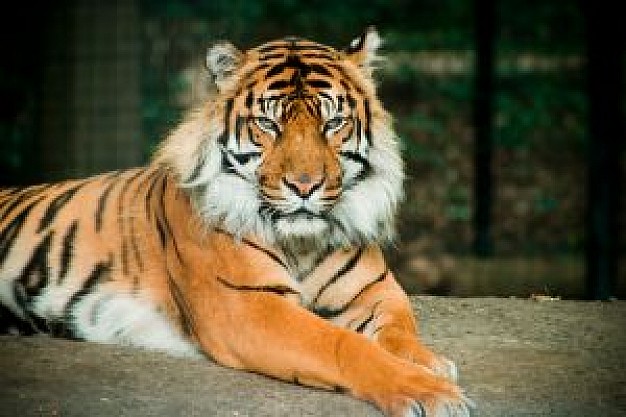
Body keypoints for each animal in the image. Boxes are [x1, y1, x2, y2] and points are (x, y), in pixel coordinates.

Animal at [0, 27, 468, 414]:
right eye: (268, 124)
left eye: (334, 123)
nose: (304, 186)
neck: (302, 243)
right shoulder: (247, 306)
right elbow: (339, 343)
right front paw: (428, 391)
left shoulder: (377, 293)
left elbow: (400, 331)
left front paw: (430, 363)